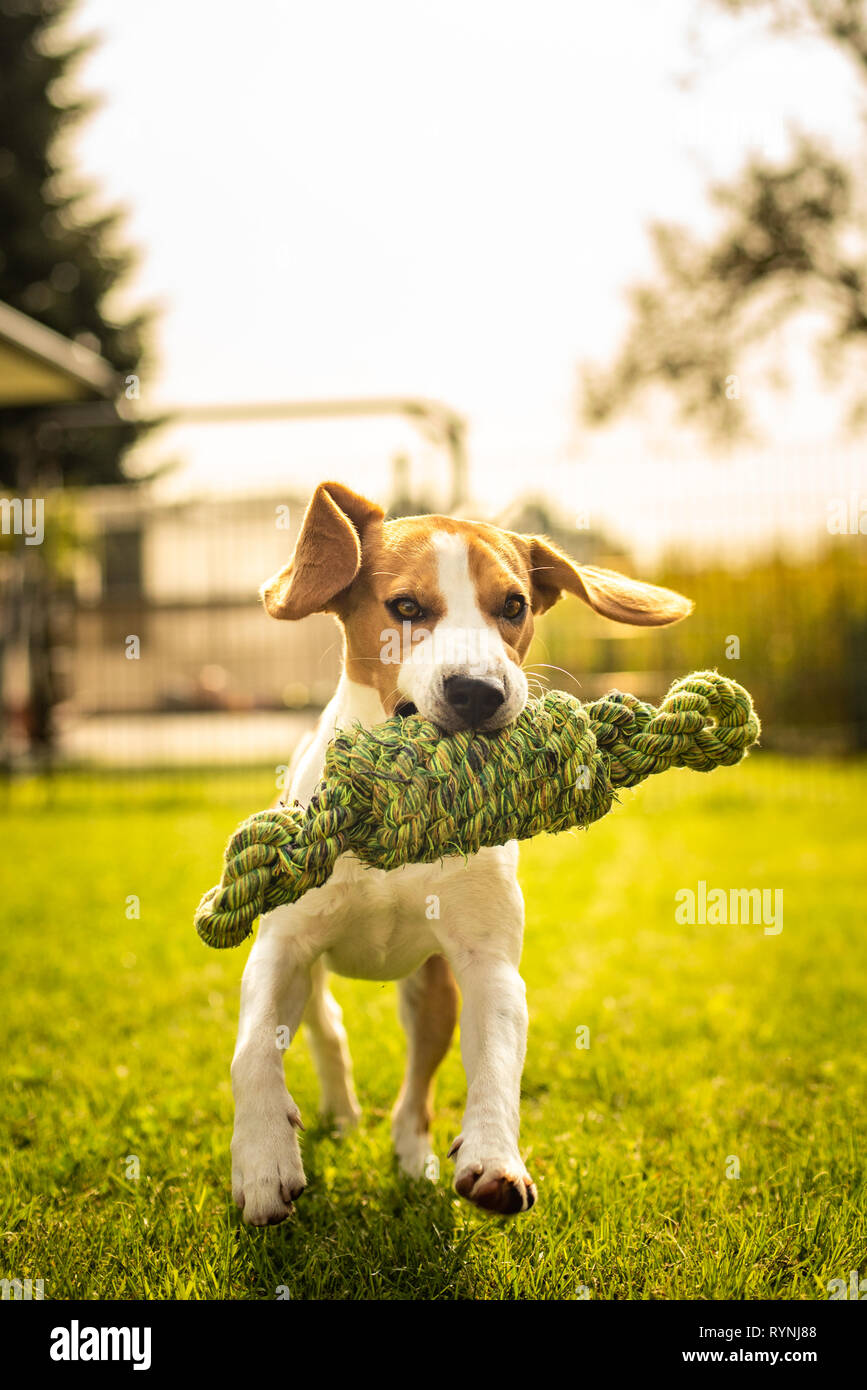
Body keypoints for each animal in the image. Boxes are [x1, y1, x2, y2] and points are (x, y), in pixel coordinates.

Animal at [230, 483, 691, 1223]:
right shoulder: (282, 947)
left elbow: (498, 1058)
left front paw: (493, 1159)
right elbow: (251, 1050)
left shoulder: (484, 963)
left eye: (514, 606)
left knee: (415, 1087)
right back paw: (337, 1110)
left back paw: (410, 1156)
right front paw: (264, 1159)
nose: (479, 691)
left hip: (430, 986)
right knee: (327, 1025)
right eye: (406, 608)